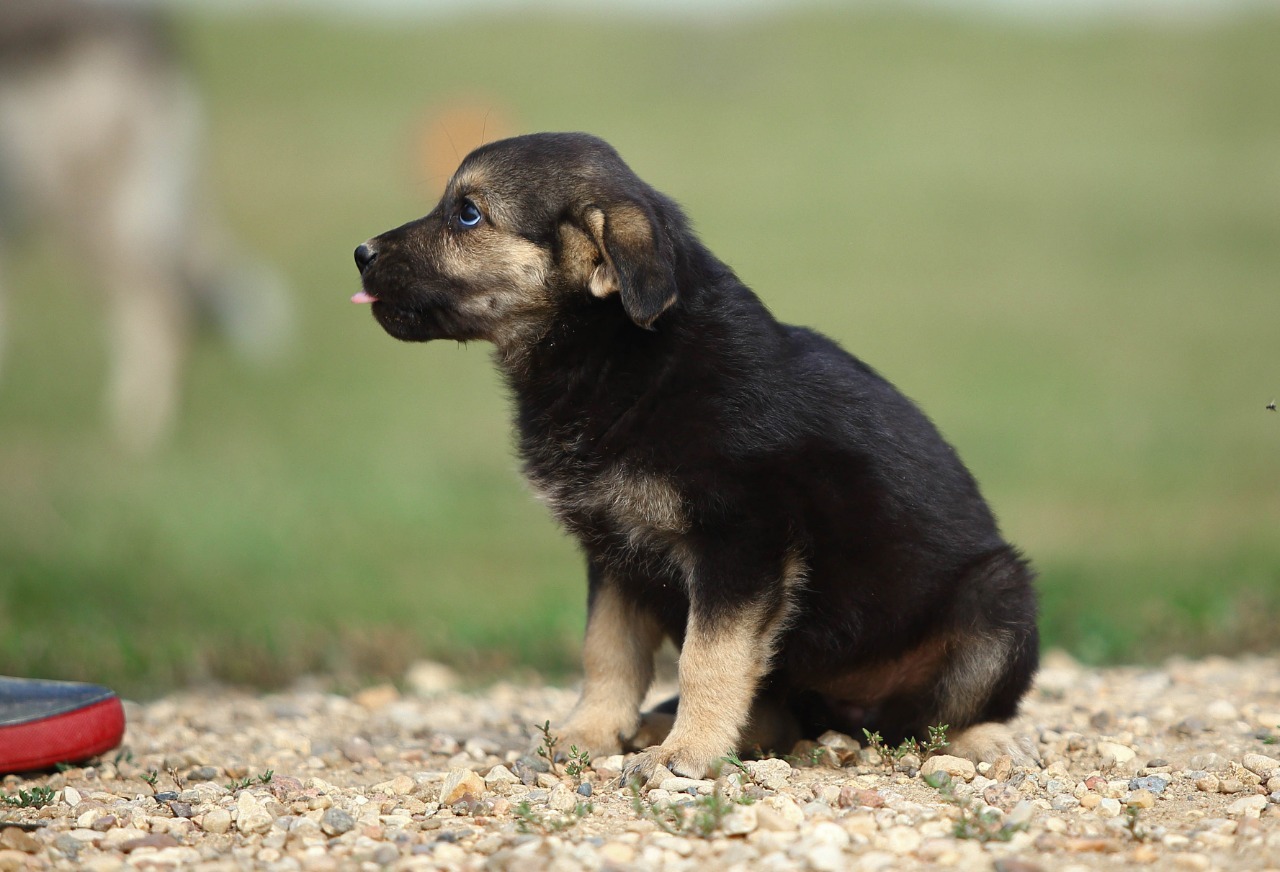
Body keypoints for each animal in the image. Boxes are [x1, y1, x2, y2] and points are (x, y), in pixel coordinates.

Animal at [353, 131, 1039, 773]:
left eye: (468, 214)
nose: (359, 254)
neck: (619, 356)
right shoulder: (615, 551)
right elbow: (608, 652)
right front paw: (589, 734)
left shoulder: (741, 544)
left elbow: (707, 657)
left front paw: (689, 752)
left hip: (997, 599)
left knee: (941, 713)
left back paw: (981, 739)